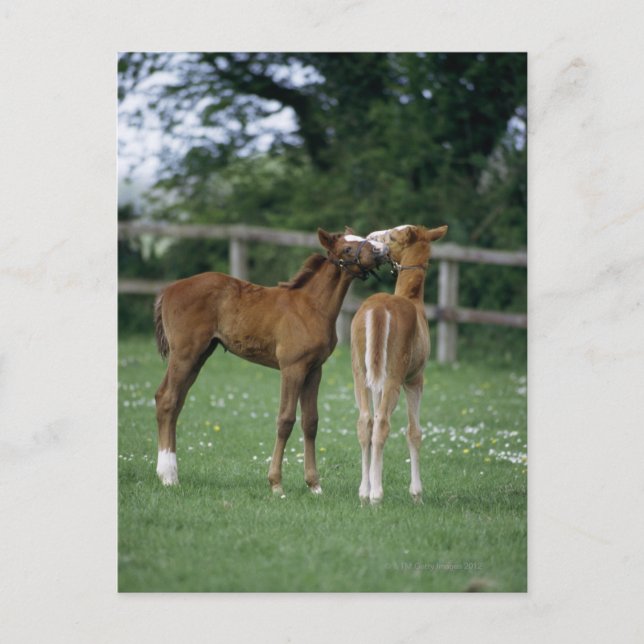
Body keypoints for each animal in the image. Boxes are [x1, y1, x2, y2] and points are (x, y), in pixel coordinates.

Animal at [153, 228, 389, 495]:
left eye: (362, 238)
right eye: (347, 249)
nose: (382, 250)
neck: (311, 306)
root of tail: (170, 289)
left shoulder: (314, 370)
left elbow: (311, 422)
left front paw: (314, 485)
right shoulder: (292, 368)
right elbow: (285, 420)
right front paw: (276, 484)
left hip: (199, 356)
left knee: (175, 402)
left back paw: (170, 471)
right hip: (185, 354)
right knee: (167, 399)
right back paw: (168, 476)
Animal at [350, 224, 448, 504]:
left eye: (392, 235)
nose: (371, 238)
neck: (411, 297)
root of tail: (378, 309)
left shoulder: (378, 381)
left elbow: (372, 423)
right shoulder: (415, 379)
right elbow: (414, 432)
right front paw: (417, 493)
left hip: (360, 372)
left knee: (366, 422)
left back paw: (364, 492)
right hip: (394, 375)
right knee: (383, 424)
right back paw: (376, 495)